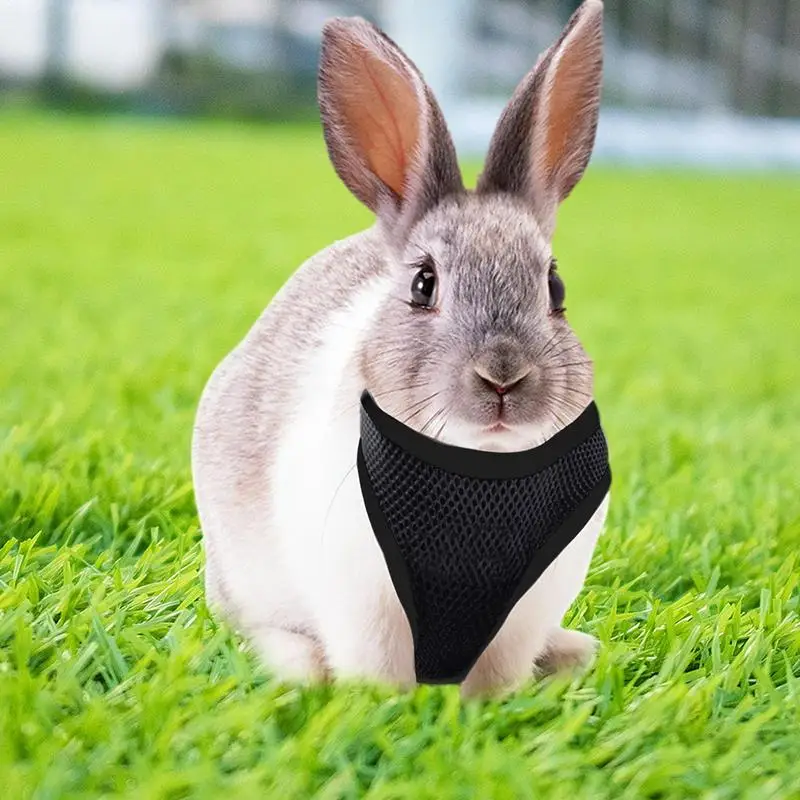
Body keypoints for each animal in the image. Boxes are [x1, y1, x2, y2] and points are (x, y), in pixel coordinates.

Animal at [192, 0, 609, 697]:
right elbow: (377, 666)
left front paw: (489, 707)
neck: (479, 463)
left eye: (555, 288)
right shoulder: (362, 599)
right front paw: (379, 706)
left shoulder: (524, 610)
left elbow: (496, 670)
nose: (503, 376)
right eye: (422, 285)